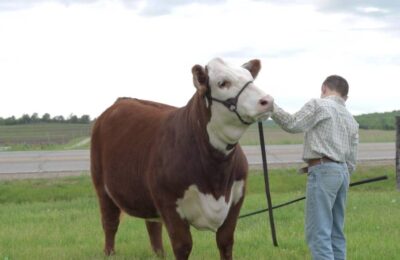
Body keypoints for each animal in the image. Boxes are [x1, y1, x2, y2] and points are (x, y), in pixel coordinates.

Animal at [89, 58, 274, 258]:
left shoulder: (236, 199)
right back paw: (109, 253)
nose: (268, 101)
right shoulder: (169, 204)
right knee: (110, 223)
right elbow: (183, 245)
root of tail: (122, 101)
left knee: (152, 225)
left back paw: (160, 254)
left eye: (250, 79)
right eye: (222, 83)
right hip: (102, 187)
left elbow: (225, 242)